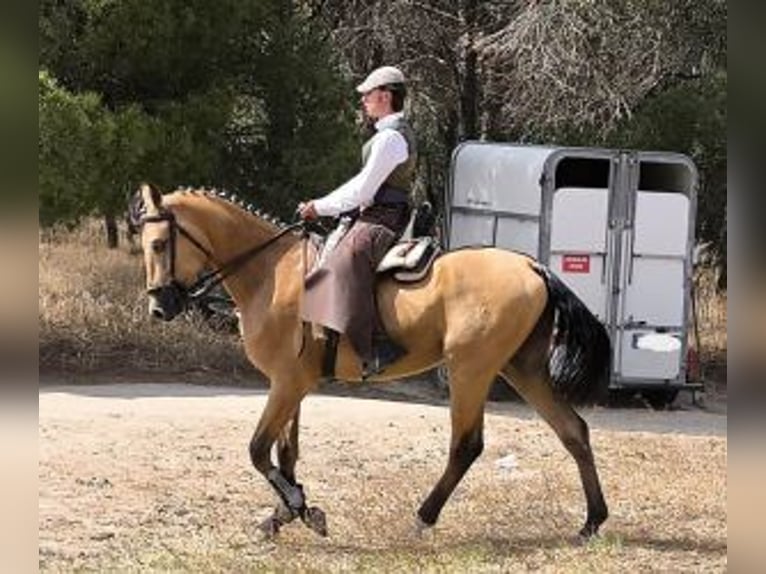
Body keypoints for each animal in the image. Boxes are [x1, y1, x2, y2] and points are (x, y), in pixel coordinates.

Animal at [130, 186, 612, 544]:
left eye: (158, 244)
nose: (159, 307)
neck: (272, 273)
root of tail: (533, 267)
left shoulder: (286, 383)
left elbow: (258, 450)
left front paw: (301, 509)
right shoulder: (292, 384)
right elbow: (286, 453)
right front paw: (286, 513)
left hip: (470, 369)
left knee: (467, 446)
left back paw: (422, 518)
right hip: (521, 370)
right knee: (573, 431)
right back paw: (591, 523)